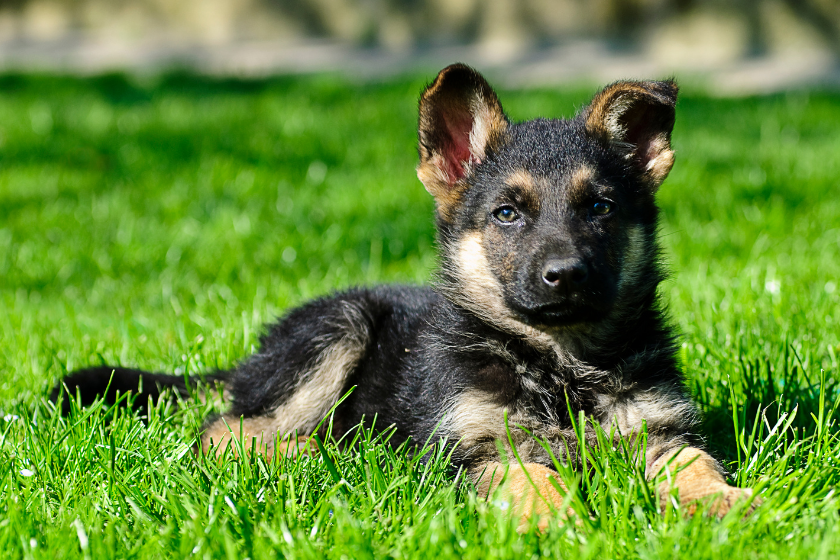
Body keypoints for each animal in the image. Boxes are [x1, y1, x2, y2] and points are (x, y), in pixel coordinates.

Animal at [55, 63, 756, 528]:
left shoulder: (660, 431)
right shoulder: (476, 445)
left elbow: (694, 462)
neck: (561, 367)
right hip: (339, 328)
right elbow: (528, 475)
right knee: (226, 430)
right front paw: (553, 520)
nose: (565, 275)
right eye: (507, 214)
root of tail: (251, 361)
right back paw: (325, 452)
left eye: (601, 208)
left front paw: (725, 502)